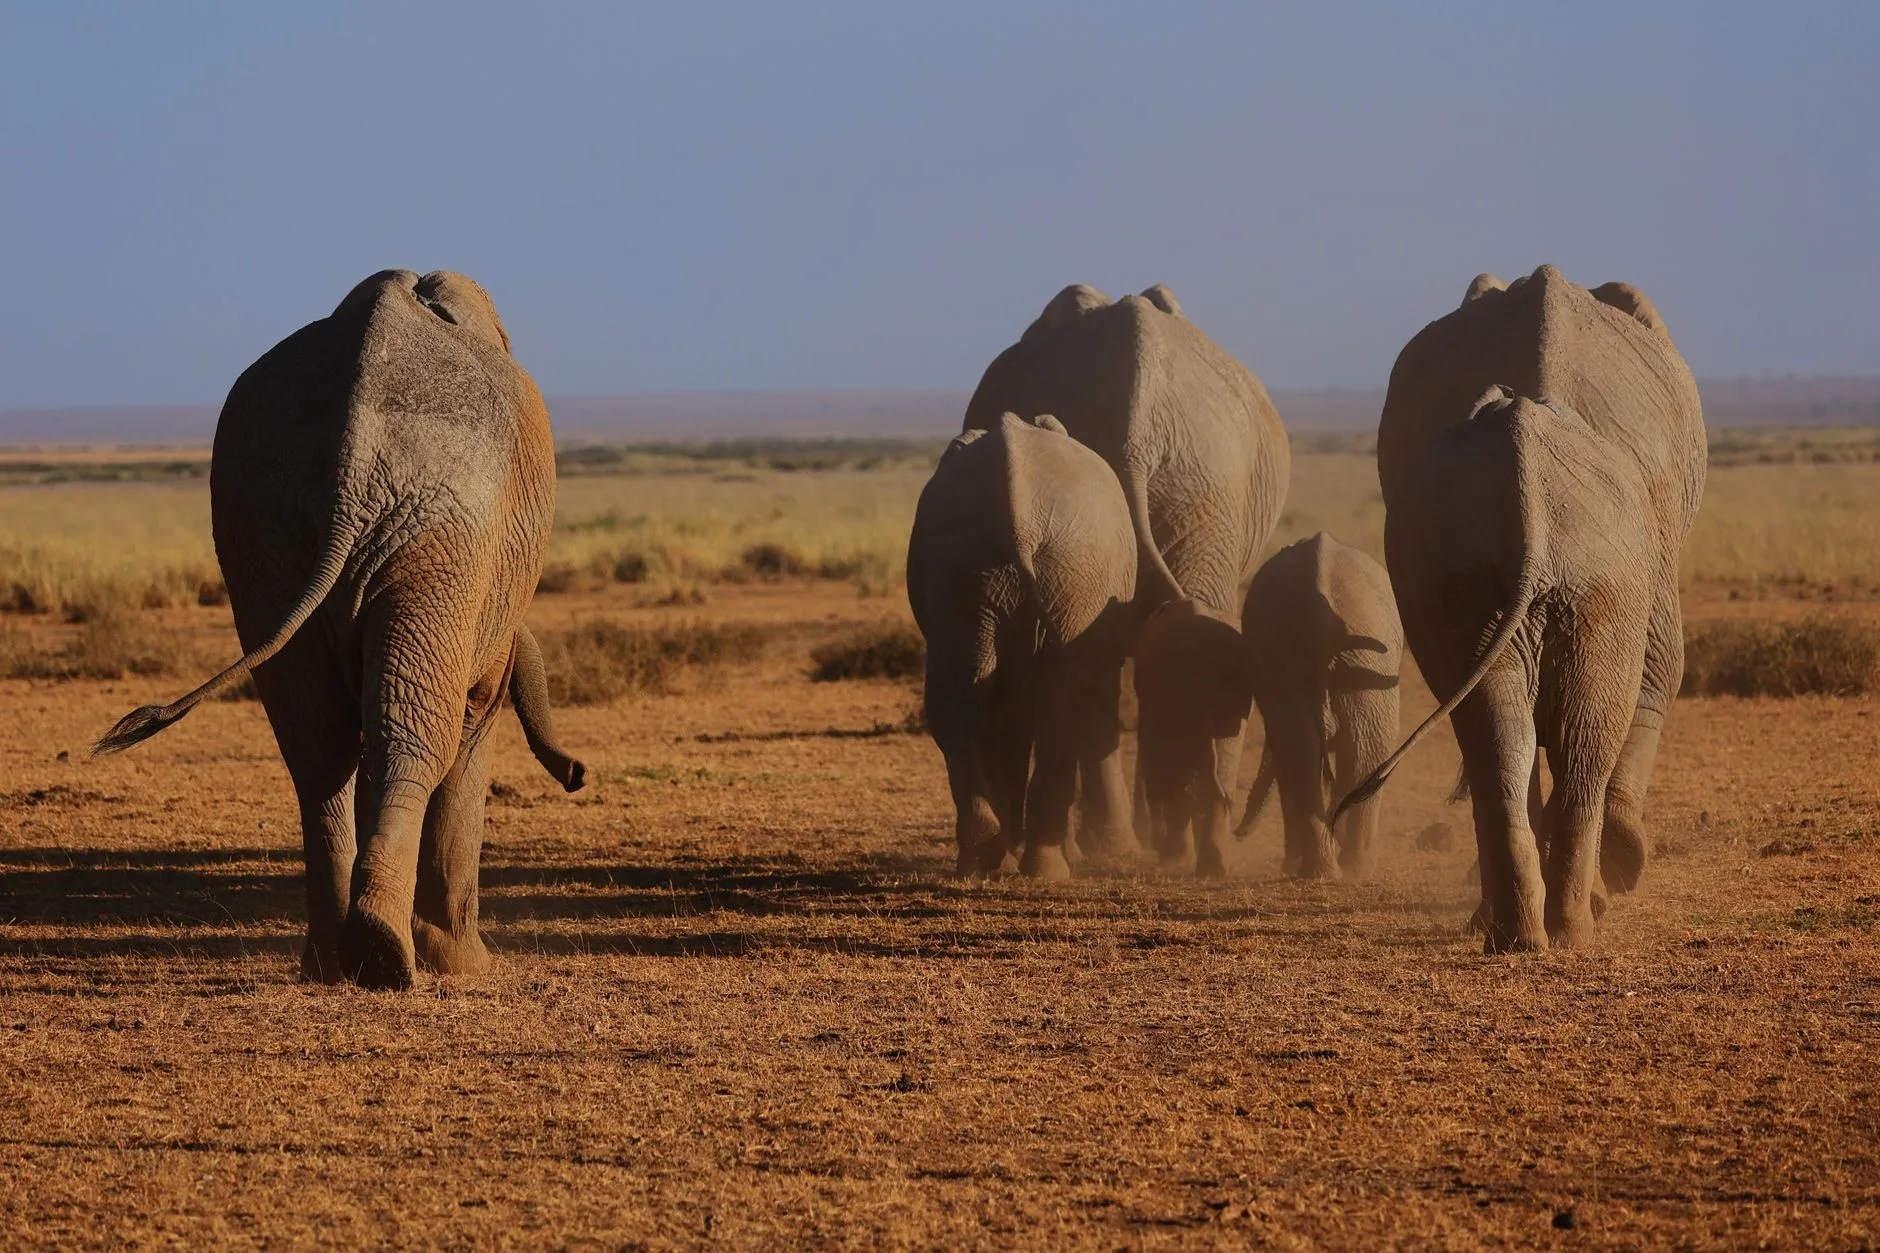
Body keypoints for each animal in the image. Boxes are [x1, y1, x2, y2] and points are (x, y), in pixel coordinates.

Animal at [93, 269, 587, 990]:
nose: (577, 775)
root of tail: (353, 457)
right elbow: (471, 729)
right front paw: (464, 966)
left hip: (265, 524)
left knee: (317, 742)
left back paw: (338, 960)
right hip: (440, 534)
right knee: (413, 736)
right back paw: (386, 957)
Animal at [907, 412, 1137, 879]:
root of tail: (1019, 511)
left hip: (970, 564)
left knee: (959, 697)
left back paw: (980, 860)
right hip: (1071, 573)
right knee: (1057, 705)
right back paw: (1040, 867)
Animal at [963, 284, 1290, 874]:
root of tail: (1136, 435)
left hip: (1200, 490)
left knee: (1113, 669)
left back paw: (1142, 843)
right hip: (1206, 491)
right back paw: (1169, 845)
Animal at [1235, 532, 1401, 880]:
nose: (1237, 834)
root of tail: (1322, 626)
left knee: (1325, 749)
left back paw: (1338, 869)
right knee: (1339, 749)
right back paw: (1341, 869)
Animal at [1343, 264, 1705, 951]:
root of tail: (1530, 487)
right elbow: (1662, 667)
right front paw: (1623, 866)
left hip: (1490, 576)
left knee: (1504, 735)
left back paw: (1524, 935)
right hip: (1600, 575)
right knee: (1572, 737)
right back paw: (1570, 927)